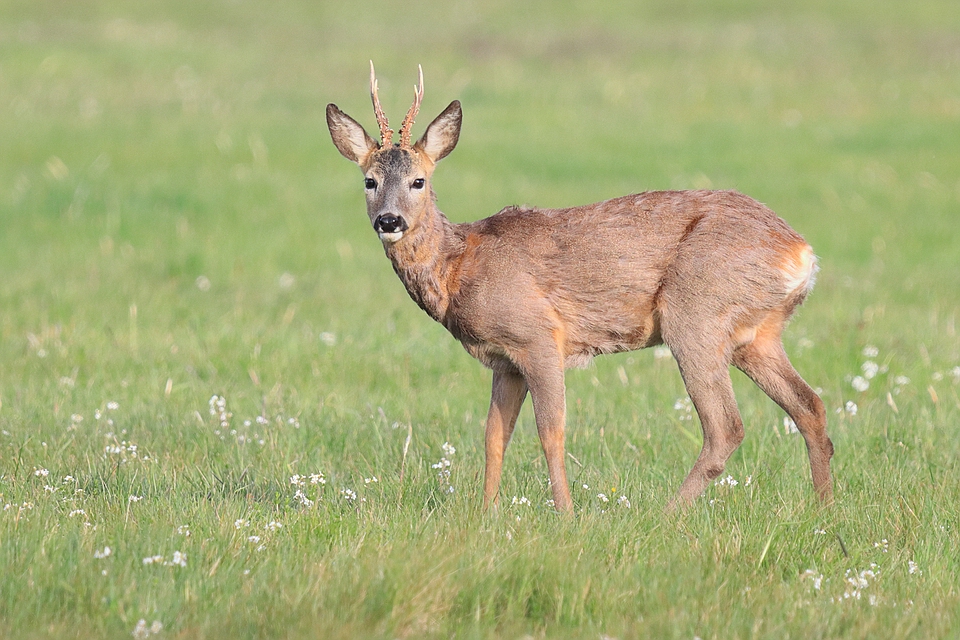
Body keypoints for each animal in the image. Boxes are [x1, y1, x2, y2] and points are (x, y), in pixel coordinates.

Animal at [324, 63, 832, 516]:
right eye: (369, 180)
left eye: (419, 180)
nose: (389, 221)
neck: (460, 267)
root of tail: (801, 252)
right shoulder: (504, 361)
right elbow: (493, 437)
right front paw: (485, 515)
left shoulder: (538, 336)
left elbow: (551, 432)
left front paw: (565, 515)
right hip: (756, 336)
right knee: (810, 405)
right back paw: (824, 512)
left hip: (697, 314)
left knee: (726, 426)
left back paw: (664, 515)